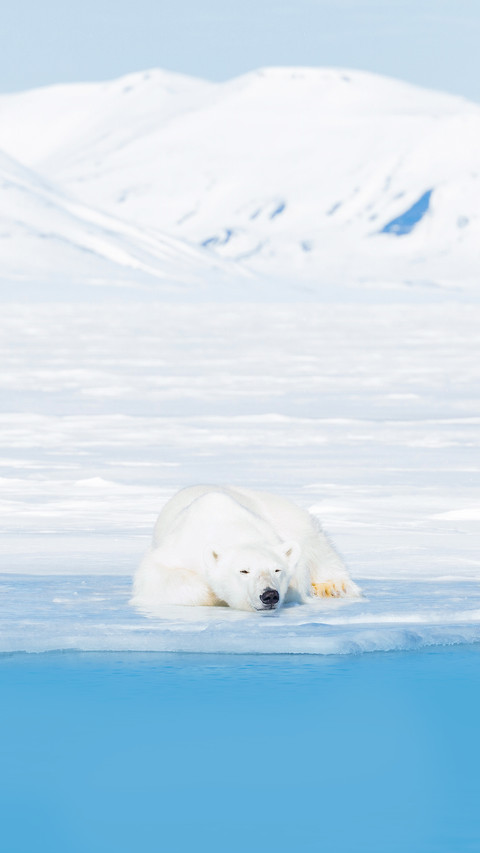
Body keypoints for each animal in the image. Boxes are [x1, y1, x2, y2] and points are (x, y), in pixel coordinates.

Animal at [131, 485, 361, 613]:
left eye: (277, 569)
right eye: (244, 570)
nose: (269, 595)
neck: (228, 525)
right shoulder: (180, 547)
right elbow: (156, 577)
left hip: (289, 516)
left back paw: (334, 586)